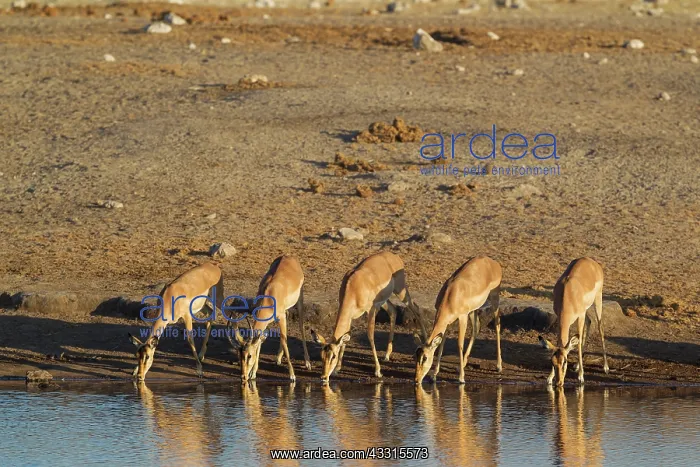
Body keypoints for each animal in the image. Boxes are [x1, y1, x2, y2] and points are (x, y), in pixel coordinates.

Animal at [311, 251, 429, 382]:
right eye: (322, 355)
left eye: (333, 356)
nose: (324, 376)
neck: (353, 287)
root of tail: (394, 256)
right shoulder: (350, 316)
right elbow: (345, 339)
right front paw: (337, 369)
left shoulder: (371, 310)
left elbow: (370, 336)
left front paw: (378, 371)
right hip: (384, 301)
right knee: (393, 311)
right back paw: (387, 355)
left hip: (400, 291)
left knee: (416, 309)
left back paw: (426, 342)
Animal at [414, 255, 502, 385]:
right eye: (416, 355)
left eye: (425, 358)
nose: (417, 379)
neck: (451, 295)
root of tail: (493, 262)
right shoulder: (448, 322)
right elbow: (442, 344)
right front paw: (434, 375)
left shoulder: (462, 317)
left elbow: (459, 344)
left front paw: (461, 378)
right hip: (473, 310)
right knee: (476, 328)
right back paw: (462, 366)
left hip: (494, 299)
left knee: (497, 325)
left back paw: (499, 366)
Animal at [539, 257, 609, 387]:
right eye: (553, 362)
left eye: (565, 361)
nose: (559, 382)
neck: (568, 294)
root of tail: (592, 261)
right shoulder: (560, 318)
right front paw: (550, 377)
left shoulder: (580, 316)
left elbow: (579, 341)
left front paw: (581, 377)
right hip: (586, 309)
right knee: (589, 322)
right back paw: (576, 365)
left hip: (597, 300)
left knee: (600, 327)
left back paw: (605, 368)